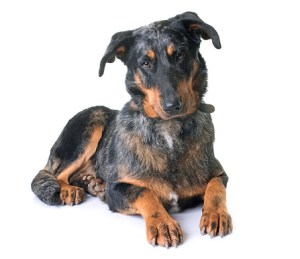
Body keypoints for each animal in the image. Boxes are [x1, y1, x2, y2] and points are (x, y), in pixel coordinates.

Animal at [31, 11, 232, 248]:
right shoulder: (117, 188)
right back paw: (71, 189)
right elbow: (145, 192)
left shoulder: (220, 173)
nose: (172, 106)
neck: (169, 129)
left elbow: (215, 186)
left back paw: (93, 183)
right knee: (59, 174)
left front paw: (216, 214)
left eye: (179, 55)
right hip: (93, 122)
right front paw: (163, 223)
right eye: (145, 63)